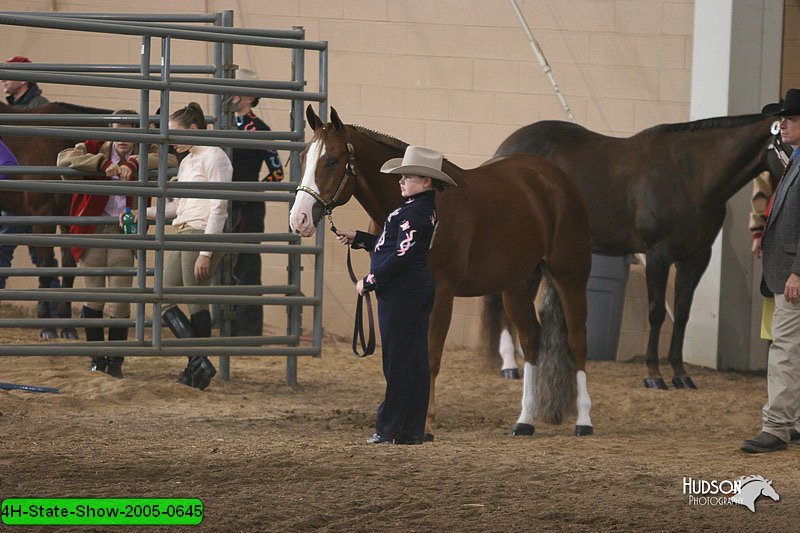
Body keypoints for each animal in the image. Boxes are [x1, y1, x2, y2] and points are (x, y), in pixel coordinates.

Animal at [0, 102, 111, 338]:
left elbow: (67, 268)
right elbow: (46, 264)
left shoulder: (69, 219)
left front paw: (67, 325)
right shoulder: (43, 216)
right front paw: (46, 324)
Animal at [290, 106, 596, 438]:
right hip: (517, 283)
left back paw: (583, 421)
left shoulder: (441, 293)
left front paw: (425, 423)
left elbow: (431, 355)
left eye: (332, 160)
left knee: (577, 342)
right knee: (531, 339)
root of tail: (555, 179)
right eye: (304, 156)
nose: (299, 219)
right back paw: (524, 421)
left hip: (570, 276)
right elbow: (398, 354)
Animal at [488, 112, 780, 388]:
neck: (691, 175)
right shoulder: (658, 254)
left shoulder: (696, 258)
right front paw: (654, 374)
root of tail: (505, 149)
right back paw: (510, 366)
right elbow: (657, 312)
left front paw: (681, 374)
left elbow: (682, 313)